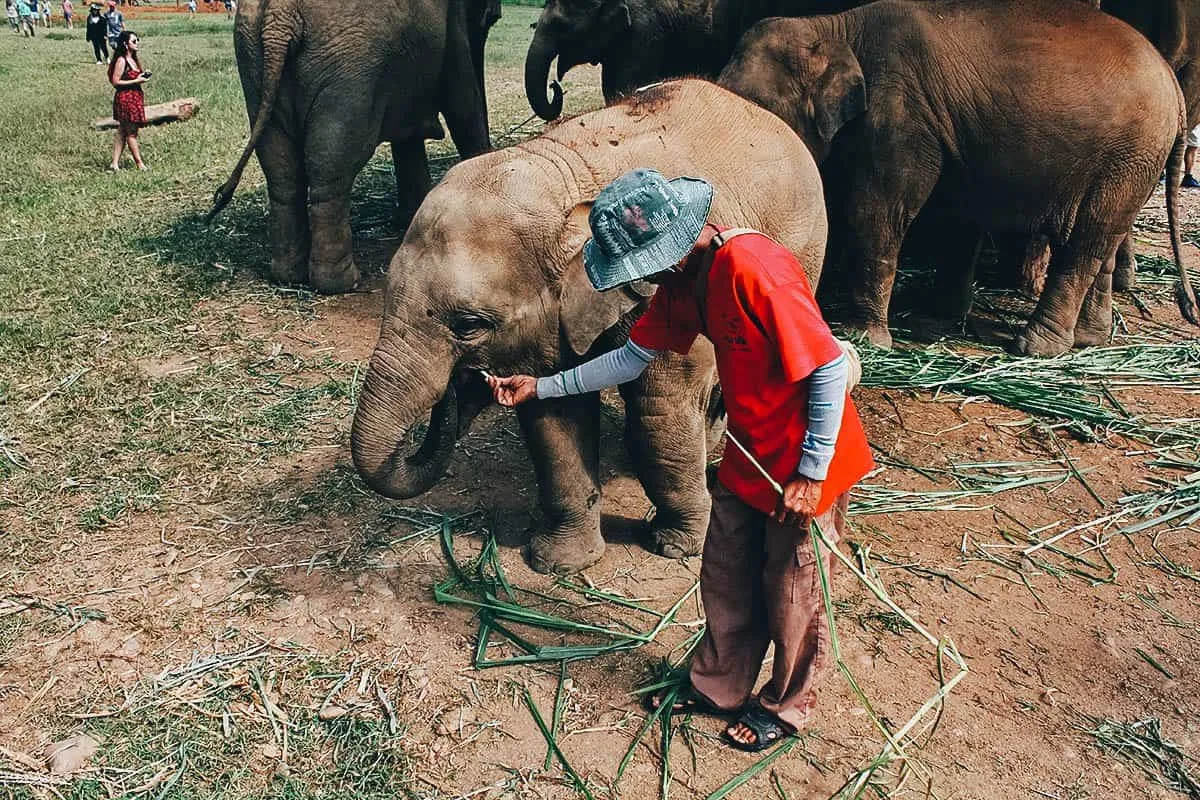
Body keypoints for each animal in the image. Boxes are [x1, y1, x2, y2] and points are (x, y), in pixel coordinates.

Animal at [208, 0, 499, 296]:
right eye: (490, 19)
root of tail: (280, 15)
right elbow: (463, 102)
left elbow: (411, 131)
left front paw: (408, 219)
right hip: (349, 72)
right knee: (332, 164)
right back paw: (344, 282)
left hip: (254, 66)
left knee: (282, 171)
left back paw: (289, 276)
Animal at [350, 77, 830, 573]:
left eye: (468, 325)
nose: (463, 386)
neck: (564, 179)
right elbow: (554, 418)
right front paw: (557, 563)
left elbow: (659, 409)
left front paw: (677, 547)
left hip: (807, 252)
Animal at [715, 0, 1195, 357]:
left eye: (755, 106)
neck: (835, 27)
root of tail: (1173, 84)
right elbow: (955, 213)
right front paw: (935, 321)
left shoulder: (901, 116)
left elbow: (877, 213)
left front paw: (861, 337)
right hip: (1130, 162)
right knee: (1102, 239)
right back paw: (1090, 338)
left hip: (1130, 153)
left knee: (1084, 244)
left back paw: (1035, 347)